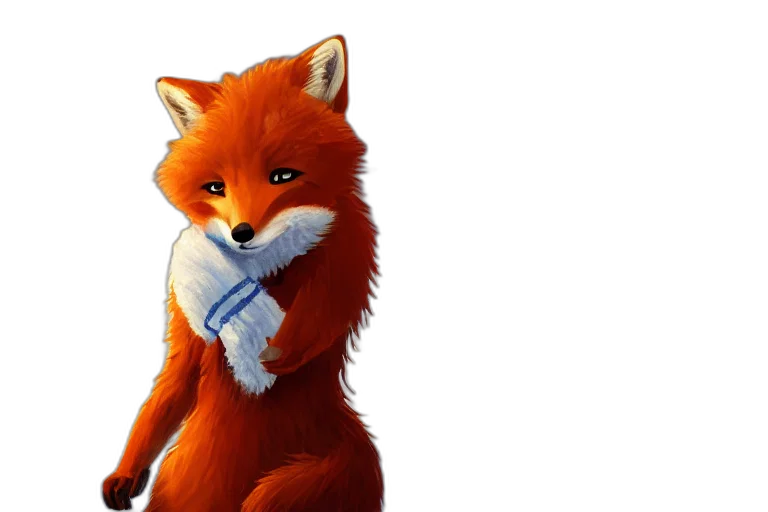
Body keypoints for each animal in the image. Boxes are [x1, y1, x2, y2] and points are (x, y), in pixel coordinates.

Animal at [101, 35, 383, 512]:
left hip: (284, 491)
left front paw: (277, 351)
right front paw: (125, 473)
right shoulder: (185, 321)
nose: (241, 233)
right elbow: (168, 390)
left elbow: (325, 310)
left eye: (282, 176)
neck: (267, 268)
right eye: (217, 187)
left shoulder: (352, 249)